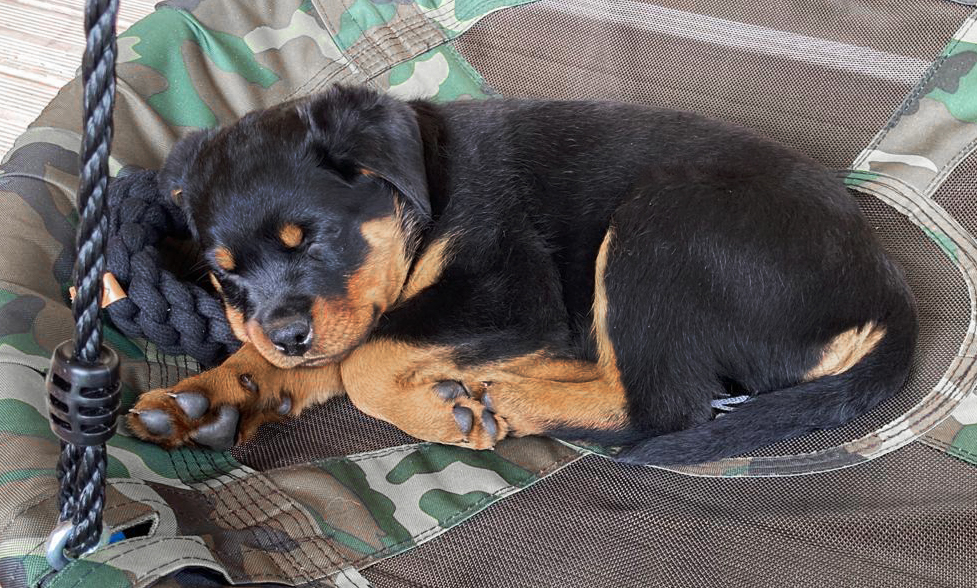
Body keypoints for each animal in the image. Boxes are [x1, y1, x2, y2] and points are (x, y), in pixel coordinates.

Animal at [126, 85, 918, 465]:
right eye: (223, 274)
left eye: (313, 238)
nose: (287, 335)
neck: (428, 190)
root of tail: (884, 290)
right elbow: (334, 351)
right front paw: (208, 397)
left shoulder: (508, 289)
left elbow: (366, 362)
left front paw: (441, 412)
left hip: (662, 222)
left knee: (658, 405)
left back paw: (500, 395)